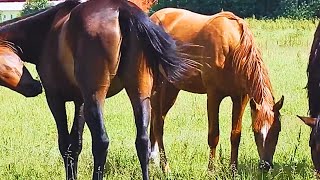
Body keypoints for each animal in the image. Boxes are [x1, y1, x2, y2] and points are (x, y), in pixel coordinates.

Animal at [0, 0, 200, 179]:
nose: (33, 88)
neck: (46, 31)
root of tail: (121, 8)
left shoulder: (55, 98)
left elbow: (65, 145)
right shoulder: (80, 102)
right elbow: (76, 145)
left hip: (96, 97)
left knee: (101, 142)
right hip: (139, 94)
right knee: (142, 141)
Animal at [149, 8, 284, 172]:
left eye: (277, 130)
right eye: (256, 131)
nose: (266, 166)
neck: (232, 48)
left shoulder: (241, 98)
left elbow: (235, 135)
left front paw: (233, 170)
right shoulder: (213, 95)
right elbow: (213, 135)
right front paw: (211, 170)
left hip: (171, 87)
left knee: (156, 121)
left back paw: (153, 161)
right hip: (158, 85)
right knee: (158, 124)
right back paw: (165, 167)